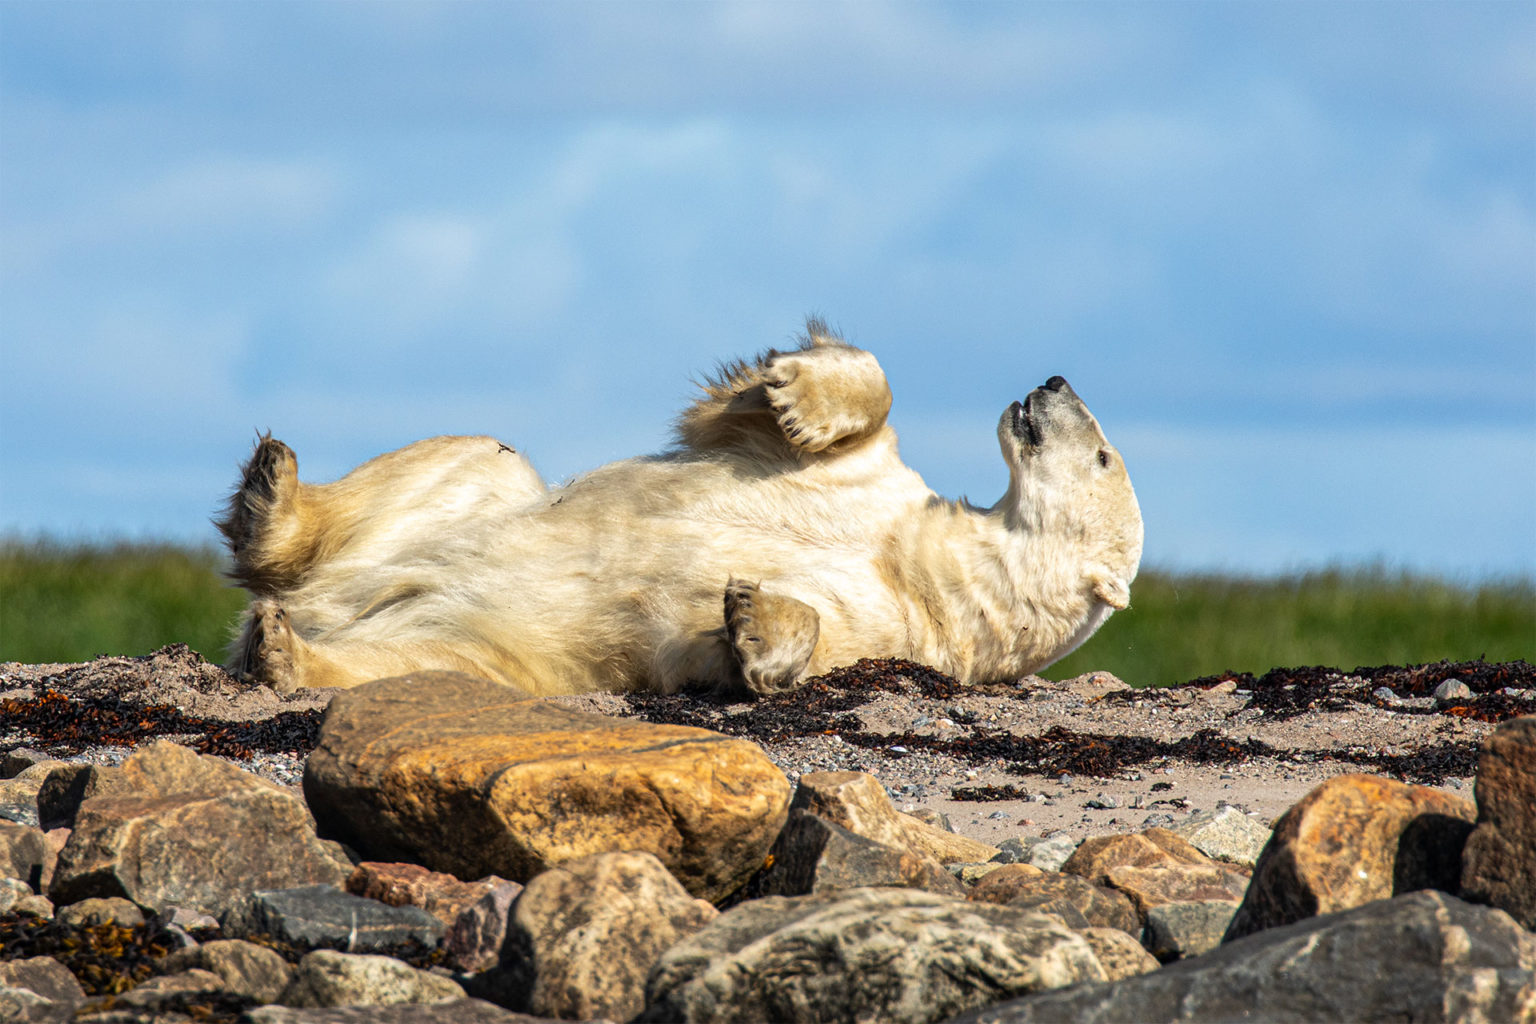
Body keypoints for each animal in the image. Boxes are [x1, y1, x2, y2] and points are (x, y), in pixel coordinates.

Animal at [217, 320, 1142, 697]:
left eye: (1103, 455)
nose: (1055, 380)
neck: (922, 564)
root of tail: (334, 601)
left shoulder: (898, 631)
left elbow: (770, 642)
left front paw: (755, 619)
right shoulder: (872, 488)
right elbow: (810, 419)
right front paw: (796, 390)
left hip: (498, 646)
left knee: (431, 664)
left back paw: (284, 648)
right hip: (456, 512)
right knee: (484, 455)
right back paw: (274, 492)